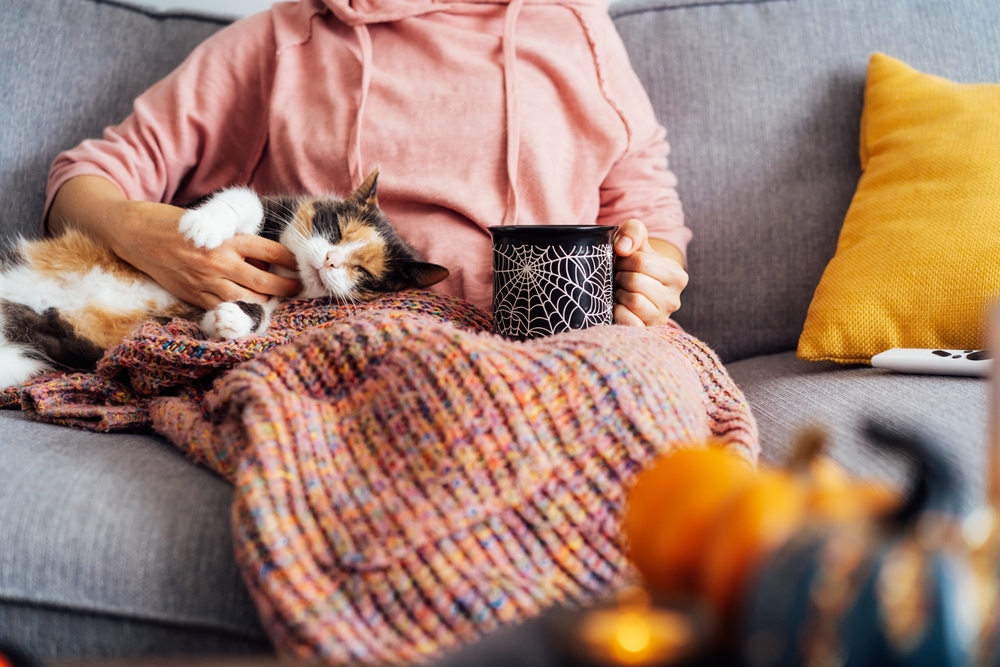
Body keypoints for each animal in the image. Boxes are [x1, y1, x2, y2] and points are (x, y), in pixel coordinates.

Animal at [0, 167, 450, 394]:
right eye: (336, 230)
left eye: (365, 272)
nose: (329, 259)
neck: (287, 268)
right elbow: (245, 200)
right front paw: (203, 227)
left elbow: (260, 311)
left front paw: (231, 319)